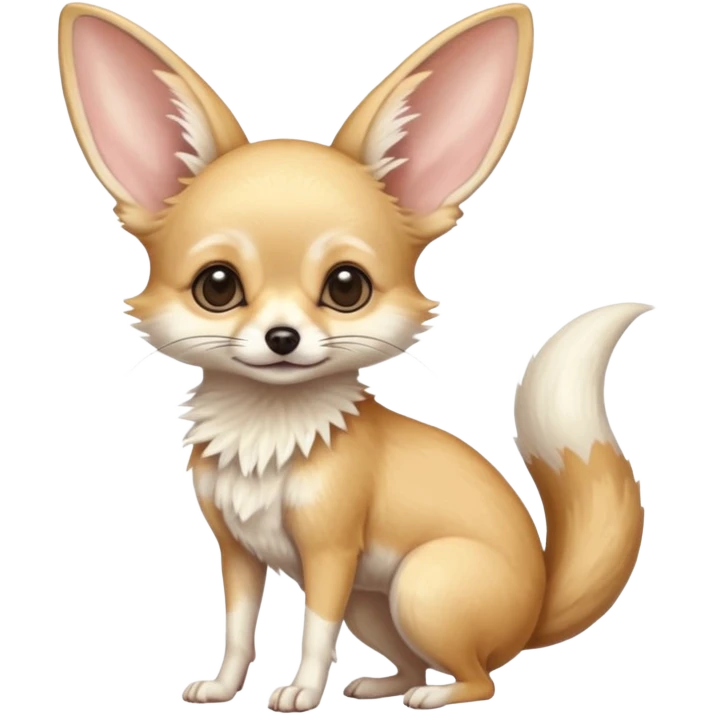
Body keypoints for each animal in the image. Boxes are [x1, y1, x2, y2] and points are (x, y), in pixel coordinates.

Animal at [58, 1, 651, 710]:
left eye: (346, 287)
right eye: (217, 286)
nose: (282, 338)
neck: (269, 434)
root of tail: (535, 608)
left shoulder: (331, 551)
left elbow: (315, 631)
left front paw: (302, 692)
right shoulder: (236, 551)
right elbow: (238, 629)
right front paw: (225, 687)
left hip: (422, 585)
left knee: (479, 677)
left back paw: (433, 696)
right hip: (377, 606)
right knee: (416, 661)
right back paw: (381, 683)